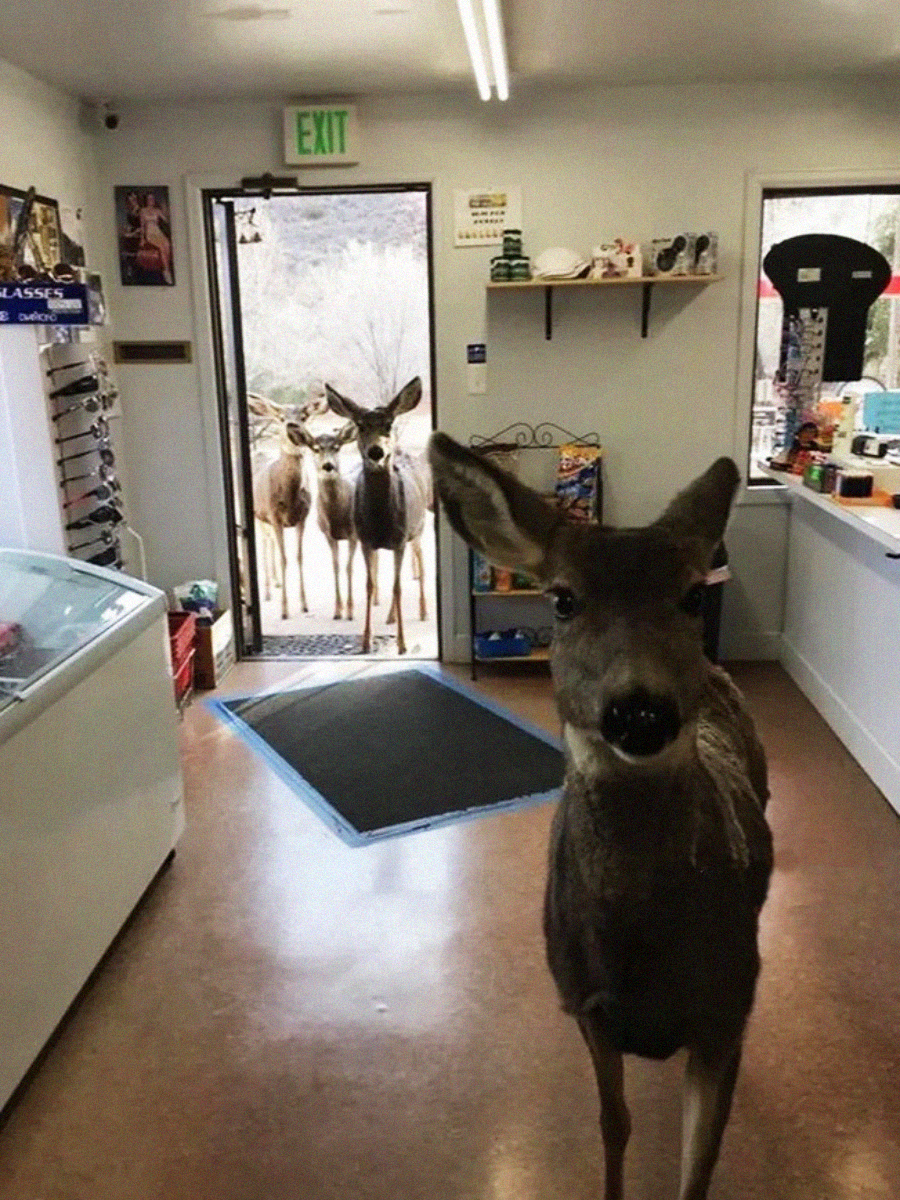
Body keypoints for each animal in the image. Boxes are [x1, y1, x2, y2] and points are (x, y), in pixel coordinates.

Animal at [248, 394, 323, 620]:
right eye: (281, 418)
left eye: (304, 416)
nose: (292, 426)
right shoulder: (274, 517)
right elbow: (284, 558)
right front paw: (284, 609)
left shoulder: (303, 518)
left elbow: (299, 557)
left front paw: (304, 604)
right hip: (257, 515)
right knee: (264, 544)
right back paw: (266, 591)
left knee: (269, 542)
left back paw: (276, 582)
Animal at [325, 377, 430, 654]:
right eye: (360, 425)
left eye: (389, 424)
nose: (376, 452)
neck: (382, 520)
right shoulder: (365, 539)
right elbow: (370, 586)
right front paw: (365, 640)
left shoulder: (400, 538)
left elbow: (398, 588)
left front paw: (402, 644)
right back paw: (391, 617)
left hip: (418, 529)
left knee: (419, 565)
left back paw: (423, 611)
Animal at [428, 432, 773, 1200]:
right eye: (561, 599)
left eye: (690, 594)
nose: (640, 711)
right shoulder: (583, 1002)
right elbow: (613, 1126)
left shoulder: (728, 1010)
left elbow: (701, 1162)